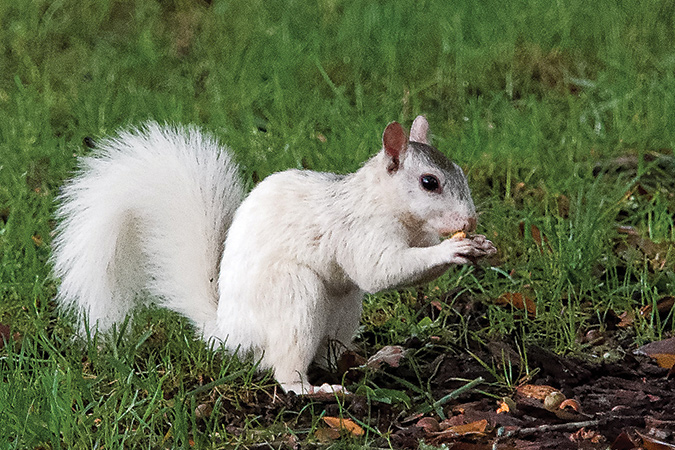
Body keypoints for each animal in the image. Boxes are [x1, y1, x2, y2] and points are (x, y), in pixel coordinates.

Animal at [51, 116, 496, 394]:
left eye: (459, 171)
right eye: (429, 182)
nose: (469, 220)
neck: (386, 205)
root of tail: (229, 334)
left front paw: (480, 246)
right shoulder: (359, 232)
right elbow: (380, 271)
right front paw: (453, 248)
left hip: (343, 307)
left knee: (330, 354)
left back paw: (372, 362)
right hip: (295, 295)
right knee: (284, 370)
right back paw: (312, 389)